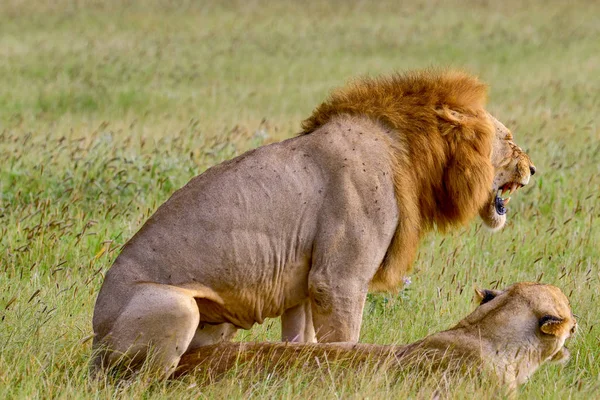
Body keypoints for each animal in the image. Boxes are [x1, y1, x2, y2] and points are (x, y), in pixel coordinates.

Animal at [92, 69, 536, 376]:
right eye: (509, 139)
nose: (533, 169)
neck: (408, 153)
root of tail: (95, 342)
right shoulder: (336, 280)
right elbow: (344, 340)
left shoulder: (303, 286)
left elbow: (301, 341)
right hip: (178, 306)